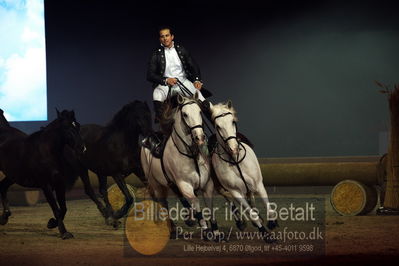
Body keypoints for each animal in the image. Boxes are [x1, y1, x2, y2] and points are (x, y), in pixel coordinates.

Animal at [0, 108, 86, 239]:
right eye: (66, 127)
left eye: (78, 125)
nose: (82, 148)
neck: (47, 152)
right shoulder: (46, 185)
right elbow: (56, 209)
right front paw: (64, 233)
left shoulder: (59, 183)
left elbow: (63, 208)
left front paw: (51, 223)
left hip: (12, 176)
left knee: (2, 187)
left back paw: (4, 217)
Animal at [141, 92, 222, 240]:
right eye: (185, 114)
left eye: (200, 111)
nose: (200, 138)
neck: (191, 155)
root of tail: (145, 141)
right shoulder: (185, 185)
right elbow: (196, 202)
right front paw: (205, 230)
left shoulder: (207, 184)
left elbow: (210, 206)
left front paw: (216, 232)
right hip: (156, 184)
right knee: (163, 204)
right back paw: (172, 229)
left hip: (169, 184)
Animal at [209, 101, 278, 242]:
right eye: (217, 126)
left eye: (233, 121)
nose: (234, 148)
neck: (235, 161)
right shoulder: (235, 192)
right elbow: (251, 213)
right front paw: (266, 234)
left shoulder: (258, 184)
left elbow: (267, 205)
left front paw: (272, 222)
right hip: (214, 187)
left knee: (250, 199)